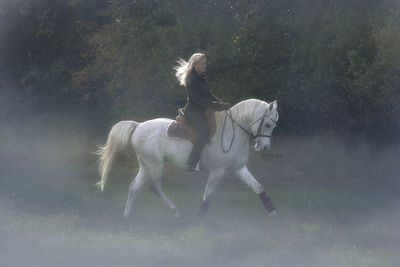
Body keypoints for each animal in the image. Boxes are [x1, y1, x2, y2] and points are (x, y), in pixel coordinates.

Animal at [95, 99, 280, 219]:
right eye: (268, 124)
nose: (264, 147)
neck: (232, 131)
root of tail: (139, 125)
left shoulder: (239, 169)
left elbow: (258, 187)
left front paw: (273, 211)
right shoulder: (217, 171)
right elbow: (208, 196)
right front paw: (199, 218)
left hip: (146, 165)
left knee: (134, 187)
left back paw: (127, 216)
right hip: (155, 164)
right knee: (154, 186)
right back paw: (176, 211)